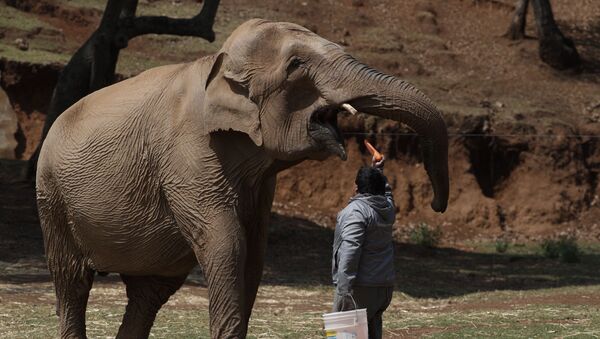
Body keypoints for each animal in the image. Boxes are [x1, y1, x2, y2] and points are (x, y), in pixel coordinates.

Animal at [35, 19, 448, 339]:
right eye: (296, 65)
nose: (436, 205)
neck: (215, 66)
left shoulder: (258, 184)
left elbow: (254, 252)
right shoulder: (189, 157)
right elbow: (227, 244)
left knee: (148, 293)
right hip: (51, 198)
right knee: (72, 282)